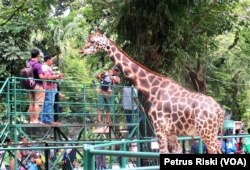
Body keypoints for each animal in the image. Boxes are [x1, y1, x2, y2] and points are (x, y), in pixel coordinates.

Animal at [80, 30, 225, 154]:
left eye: (92, 41)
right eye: (88, 39)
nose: (81, 50)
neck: (151, 88)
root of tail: (219, 110)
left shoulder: (159, 129)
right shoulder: (171, 133)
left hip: (207, 133)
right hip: (211, 133)